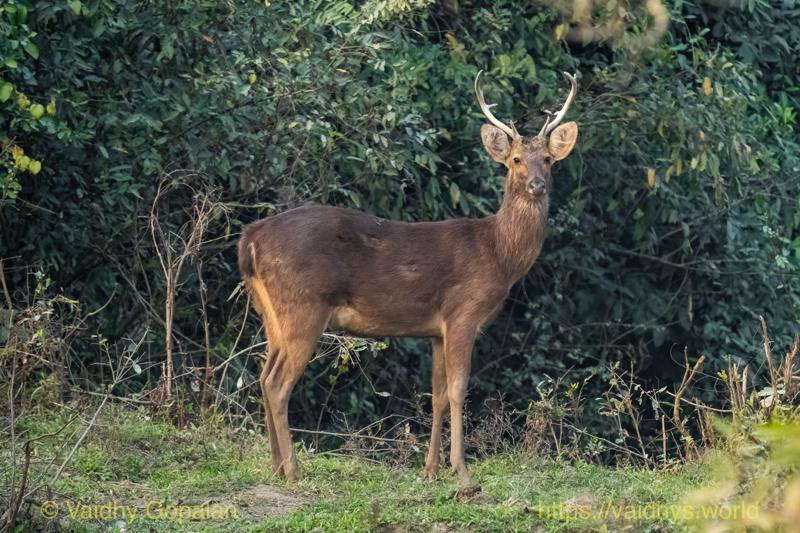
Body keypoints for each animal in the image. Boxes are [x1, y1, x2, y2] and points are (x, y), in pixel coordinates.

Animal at [237, 70, 578, 489]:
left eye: (547, 159)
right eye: (515, 160)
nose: (537, 185)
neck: (498, 255)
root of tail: (250, 239)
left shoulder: (435, 331)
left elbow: (436, 394)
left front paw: (430, 470)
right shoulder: (463, 313)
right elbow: (458, 390)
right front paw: (462, 471)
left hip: (270, 311)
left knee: (262, 373)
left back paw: (274, 466)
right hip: (303, 305)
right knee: (276, 383)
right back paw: (293, 470)